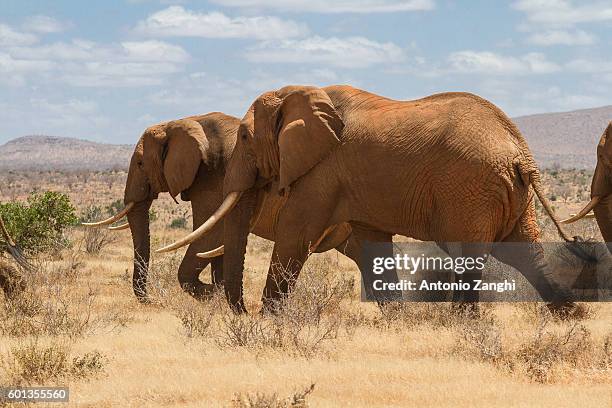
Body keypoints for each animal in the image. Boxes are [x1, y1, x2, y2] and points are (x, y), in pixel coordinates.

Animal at [83, 113, 356, 302]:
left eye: (140, 163)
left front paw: (212, 293)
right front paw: (217, 294)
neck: (185, 121)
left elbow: (209, 236)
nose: (150, 300)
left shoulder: (213, 179)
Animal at [160, 83, 580, 312]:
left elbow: (296, 233)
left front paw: (267, 323)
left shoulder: (323, 170)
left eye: (245, 137)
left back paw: (464, 326)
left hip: (469, 190)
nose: (241, 312)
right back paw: (568, 316)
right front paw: (396, 319)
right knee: (526, 252)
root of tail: (519, 152)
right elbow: (370, 244)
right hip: (506, 194)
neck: (301, 94)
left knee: (471, 255)